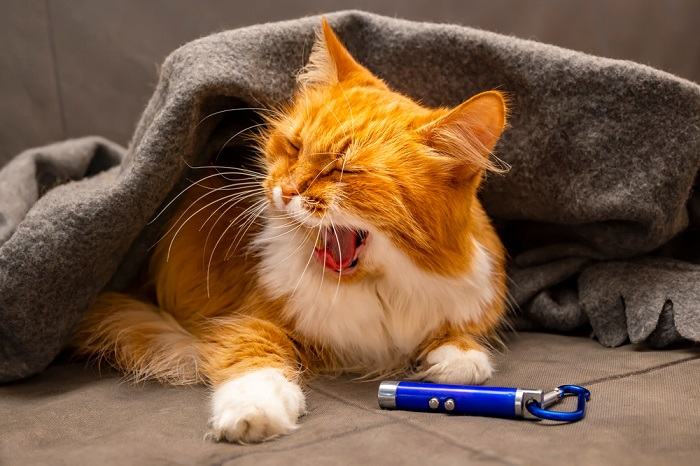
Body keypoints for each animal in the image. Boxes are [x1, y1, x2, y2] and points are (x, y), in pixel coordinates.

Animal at [72, 20, 508, 444]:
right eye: (295, 147)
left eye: (343, 170)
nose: (285, 191)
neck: (375, 288)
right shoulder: (246, 318)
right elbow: (256, 361)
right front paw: (254, 413)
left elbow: (460, 349)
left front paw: (455, 358)